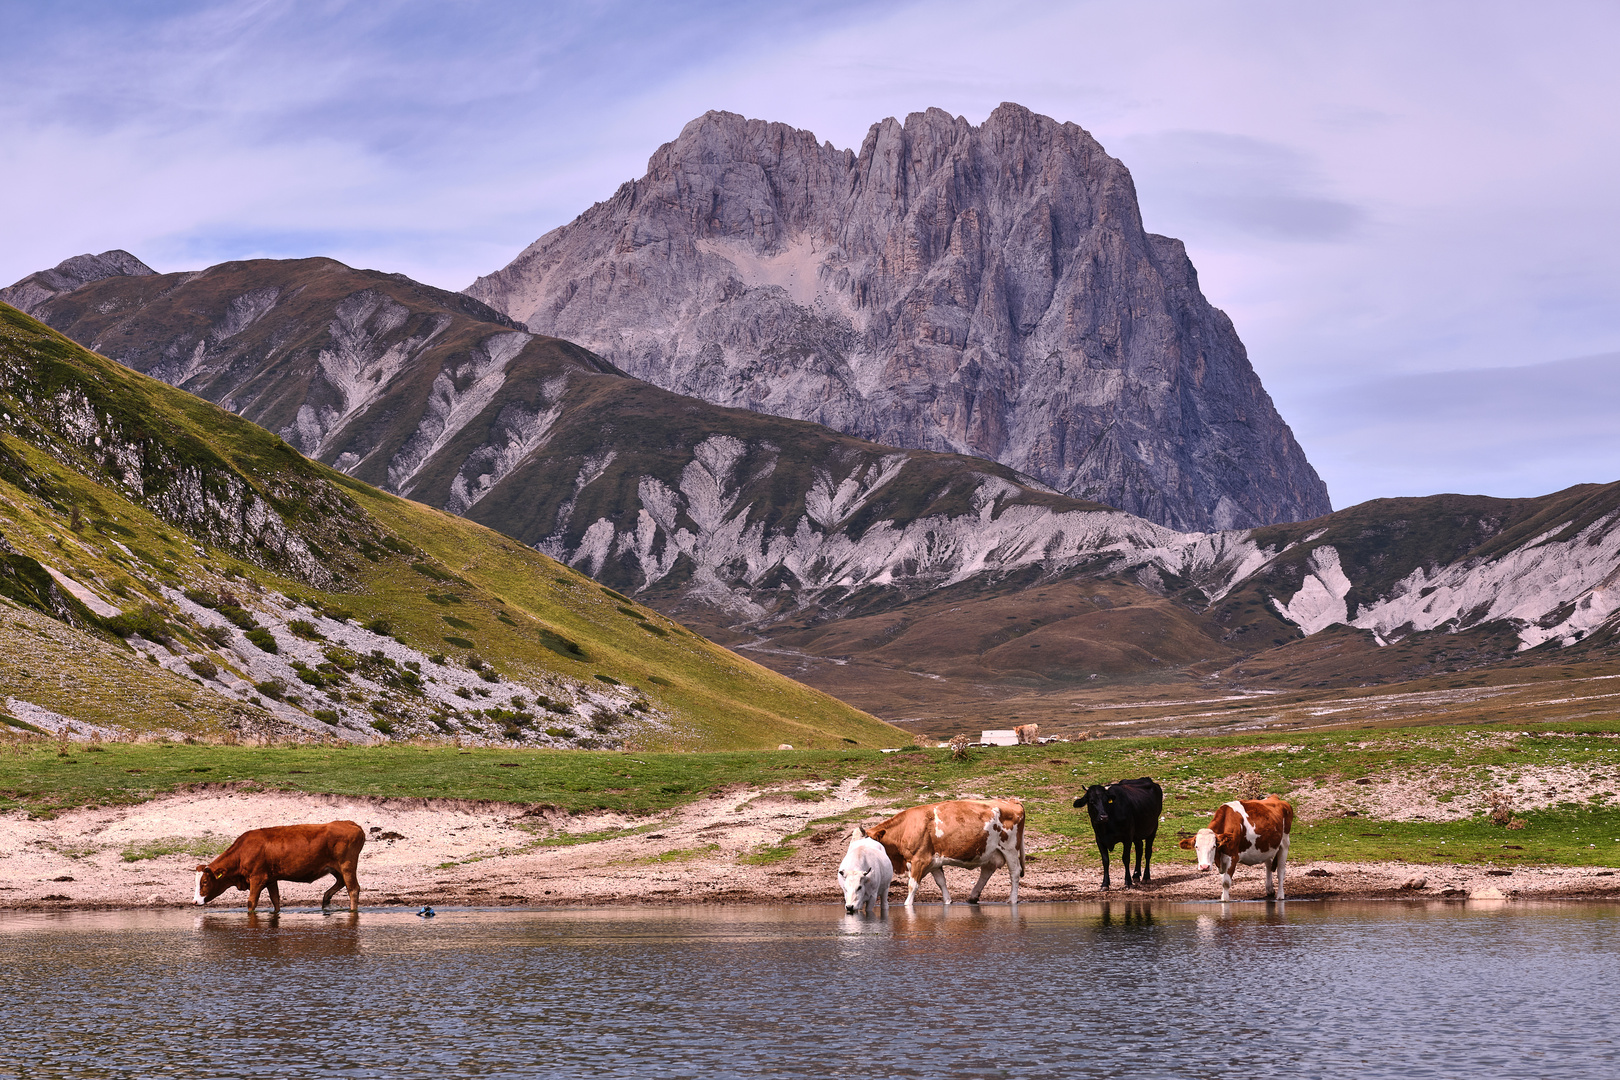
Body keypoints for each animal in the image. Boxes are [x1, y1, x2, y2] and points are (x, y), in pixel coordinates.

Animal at [194, 822, 366, 919]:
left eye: (204, 882)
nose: (195, 901)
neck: (243, 852)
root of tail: (351, 824)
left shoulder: (258, 878)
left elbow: (251, 902)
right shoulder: (271, 879)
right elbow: (275, 899)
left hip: (347, 865)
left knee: (353, 889)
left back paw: (352, 911)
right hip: (336, 867)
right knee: (341, 882)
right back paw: (326, 898)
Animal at [861, 799, 1023, 906]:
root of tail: (1010, 801)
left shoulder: (920, 860)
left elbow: (913, 885)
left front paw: (907, 905)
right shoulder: (933, 862)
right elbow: (941, 882)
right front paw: (947, 901)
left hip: (1010, 849)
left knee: (1014, 872)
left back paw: (1012, 900)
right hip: (991, 851)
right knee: (987, 871)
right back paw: (973, 897)